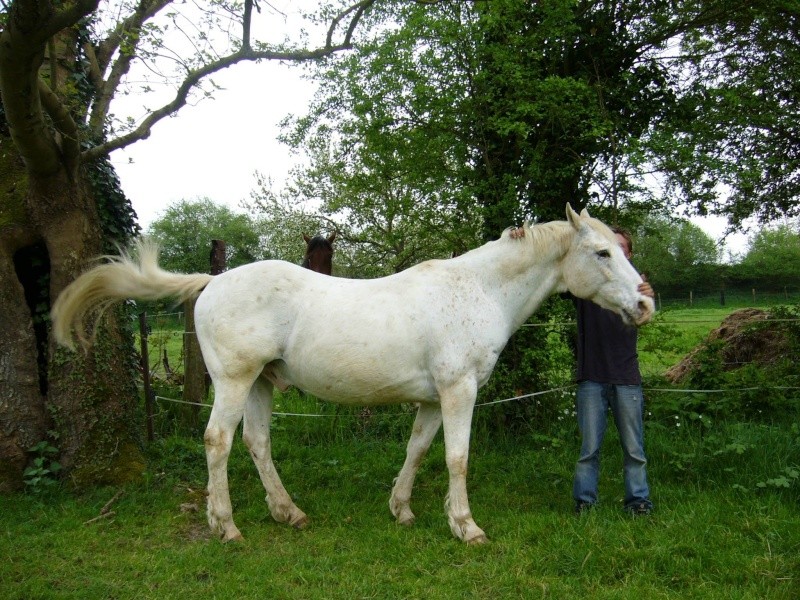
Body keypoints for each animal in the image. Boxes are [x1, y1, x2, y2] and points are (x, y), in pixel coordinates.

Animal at [50, 205, 652, 544]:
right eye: (602, 253)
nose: (645, 305)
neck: (478, 289)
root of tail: (212, 282)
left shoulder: (431, 399)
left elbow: (417, 449)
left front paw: (402, 510)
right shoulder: (458, 391)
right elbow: (456, 458)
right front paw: (465, 526)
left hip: (262, 384)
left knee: (257, 442)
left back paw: (288, 513)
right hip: (236, 381)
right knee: (218, 440)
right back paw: (227, 526)